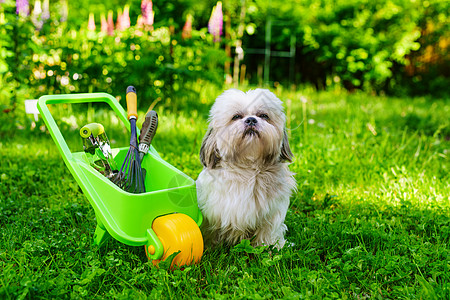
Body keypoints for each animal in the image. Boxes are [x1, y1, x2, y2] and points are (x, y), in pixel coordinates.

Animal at [198, 88, 298, 250]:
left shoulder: (273, 211)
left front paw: (272, 245)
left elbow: (269, 230)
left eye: (263, 115)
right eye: (236, 117)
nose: (251, 120)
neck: (248, 168)